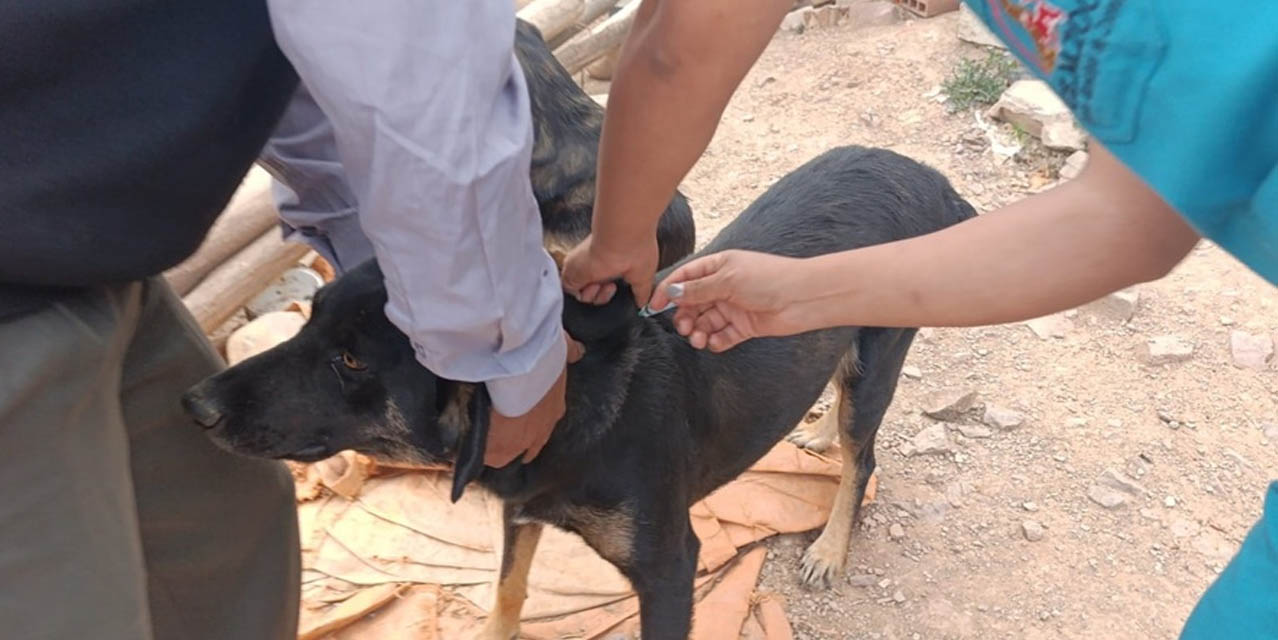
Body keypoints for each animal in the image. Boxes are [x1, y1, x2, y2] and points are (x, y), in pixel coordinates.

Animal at [182, 144, 976, 638]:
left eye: (349, 361)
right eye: (308, 318)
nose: (194, 405)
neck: (574, 410)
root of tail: (932, 179)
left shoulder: (670, 567)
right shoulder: (520, 508)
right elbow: (507, 587)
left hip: (879, 363)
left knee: (862, 459)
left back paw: (832, 544)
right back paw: (811, 430)